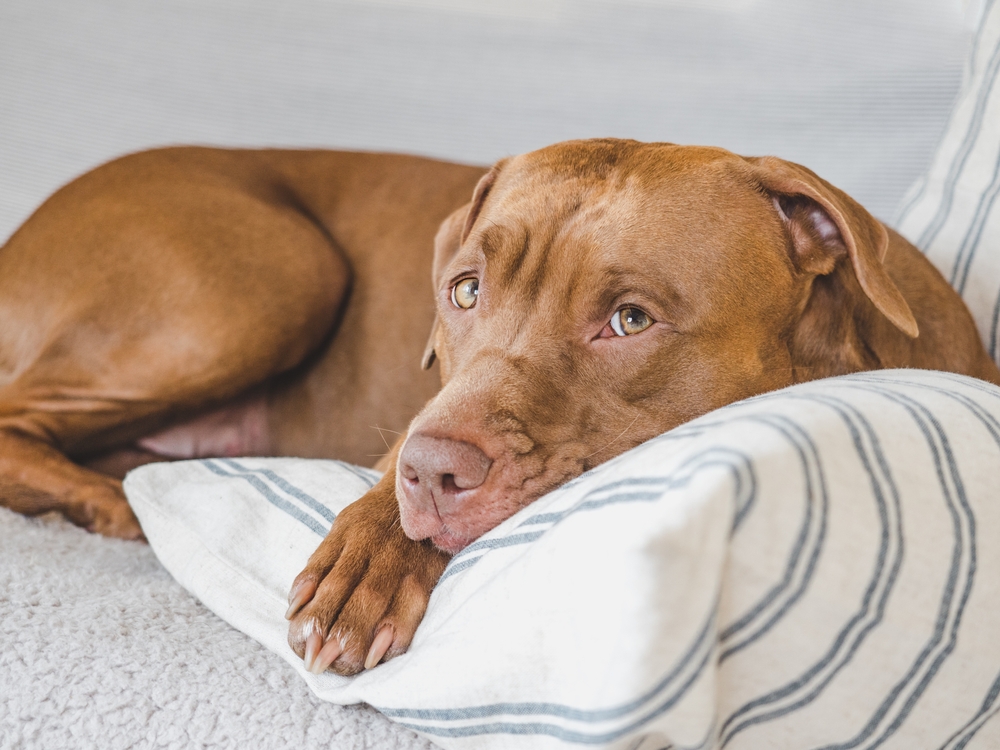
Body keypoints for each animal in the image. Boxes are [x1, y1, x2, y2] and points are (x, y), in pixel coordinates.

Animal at [1, 138, 1000, 680]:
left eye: (630, 318)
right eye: (465, 291)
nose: (429, 471)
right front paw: (371, 552)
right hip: (274, 273)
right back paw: (106, 501)